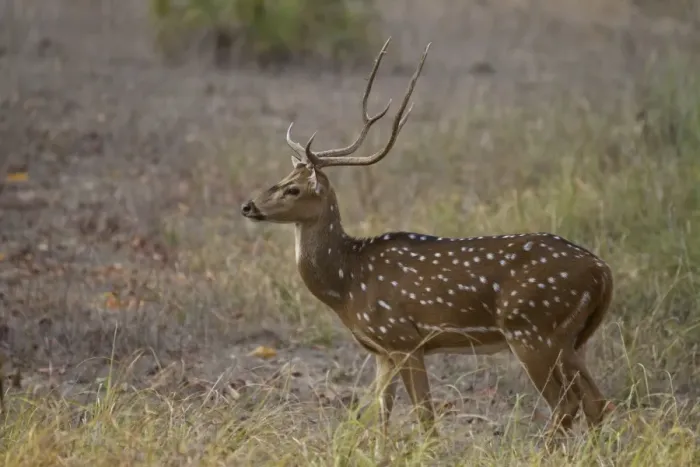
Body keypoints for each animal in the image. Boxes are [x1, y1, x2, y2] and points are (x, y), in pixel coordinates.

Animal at [240, 37, 614, 443]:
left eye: (293, 189)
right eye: (279, 178)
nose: (248, 206)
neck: (347, 283)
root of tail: (603, 271)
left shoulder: (404, 338)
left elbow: (425, 418)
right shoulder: (382, 350)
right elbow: (378, 416)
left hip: (532, 328)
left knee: (566, 404)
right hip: (571, 338)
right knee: (597, 402)